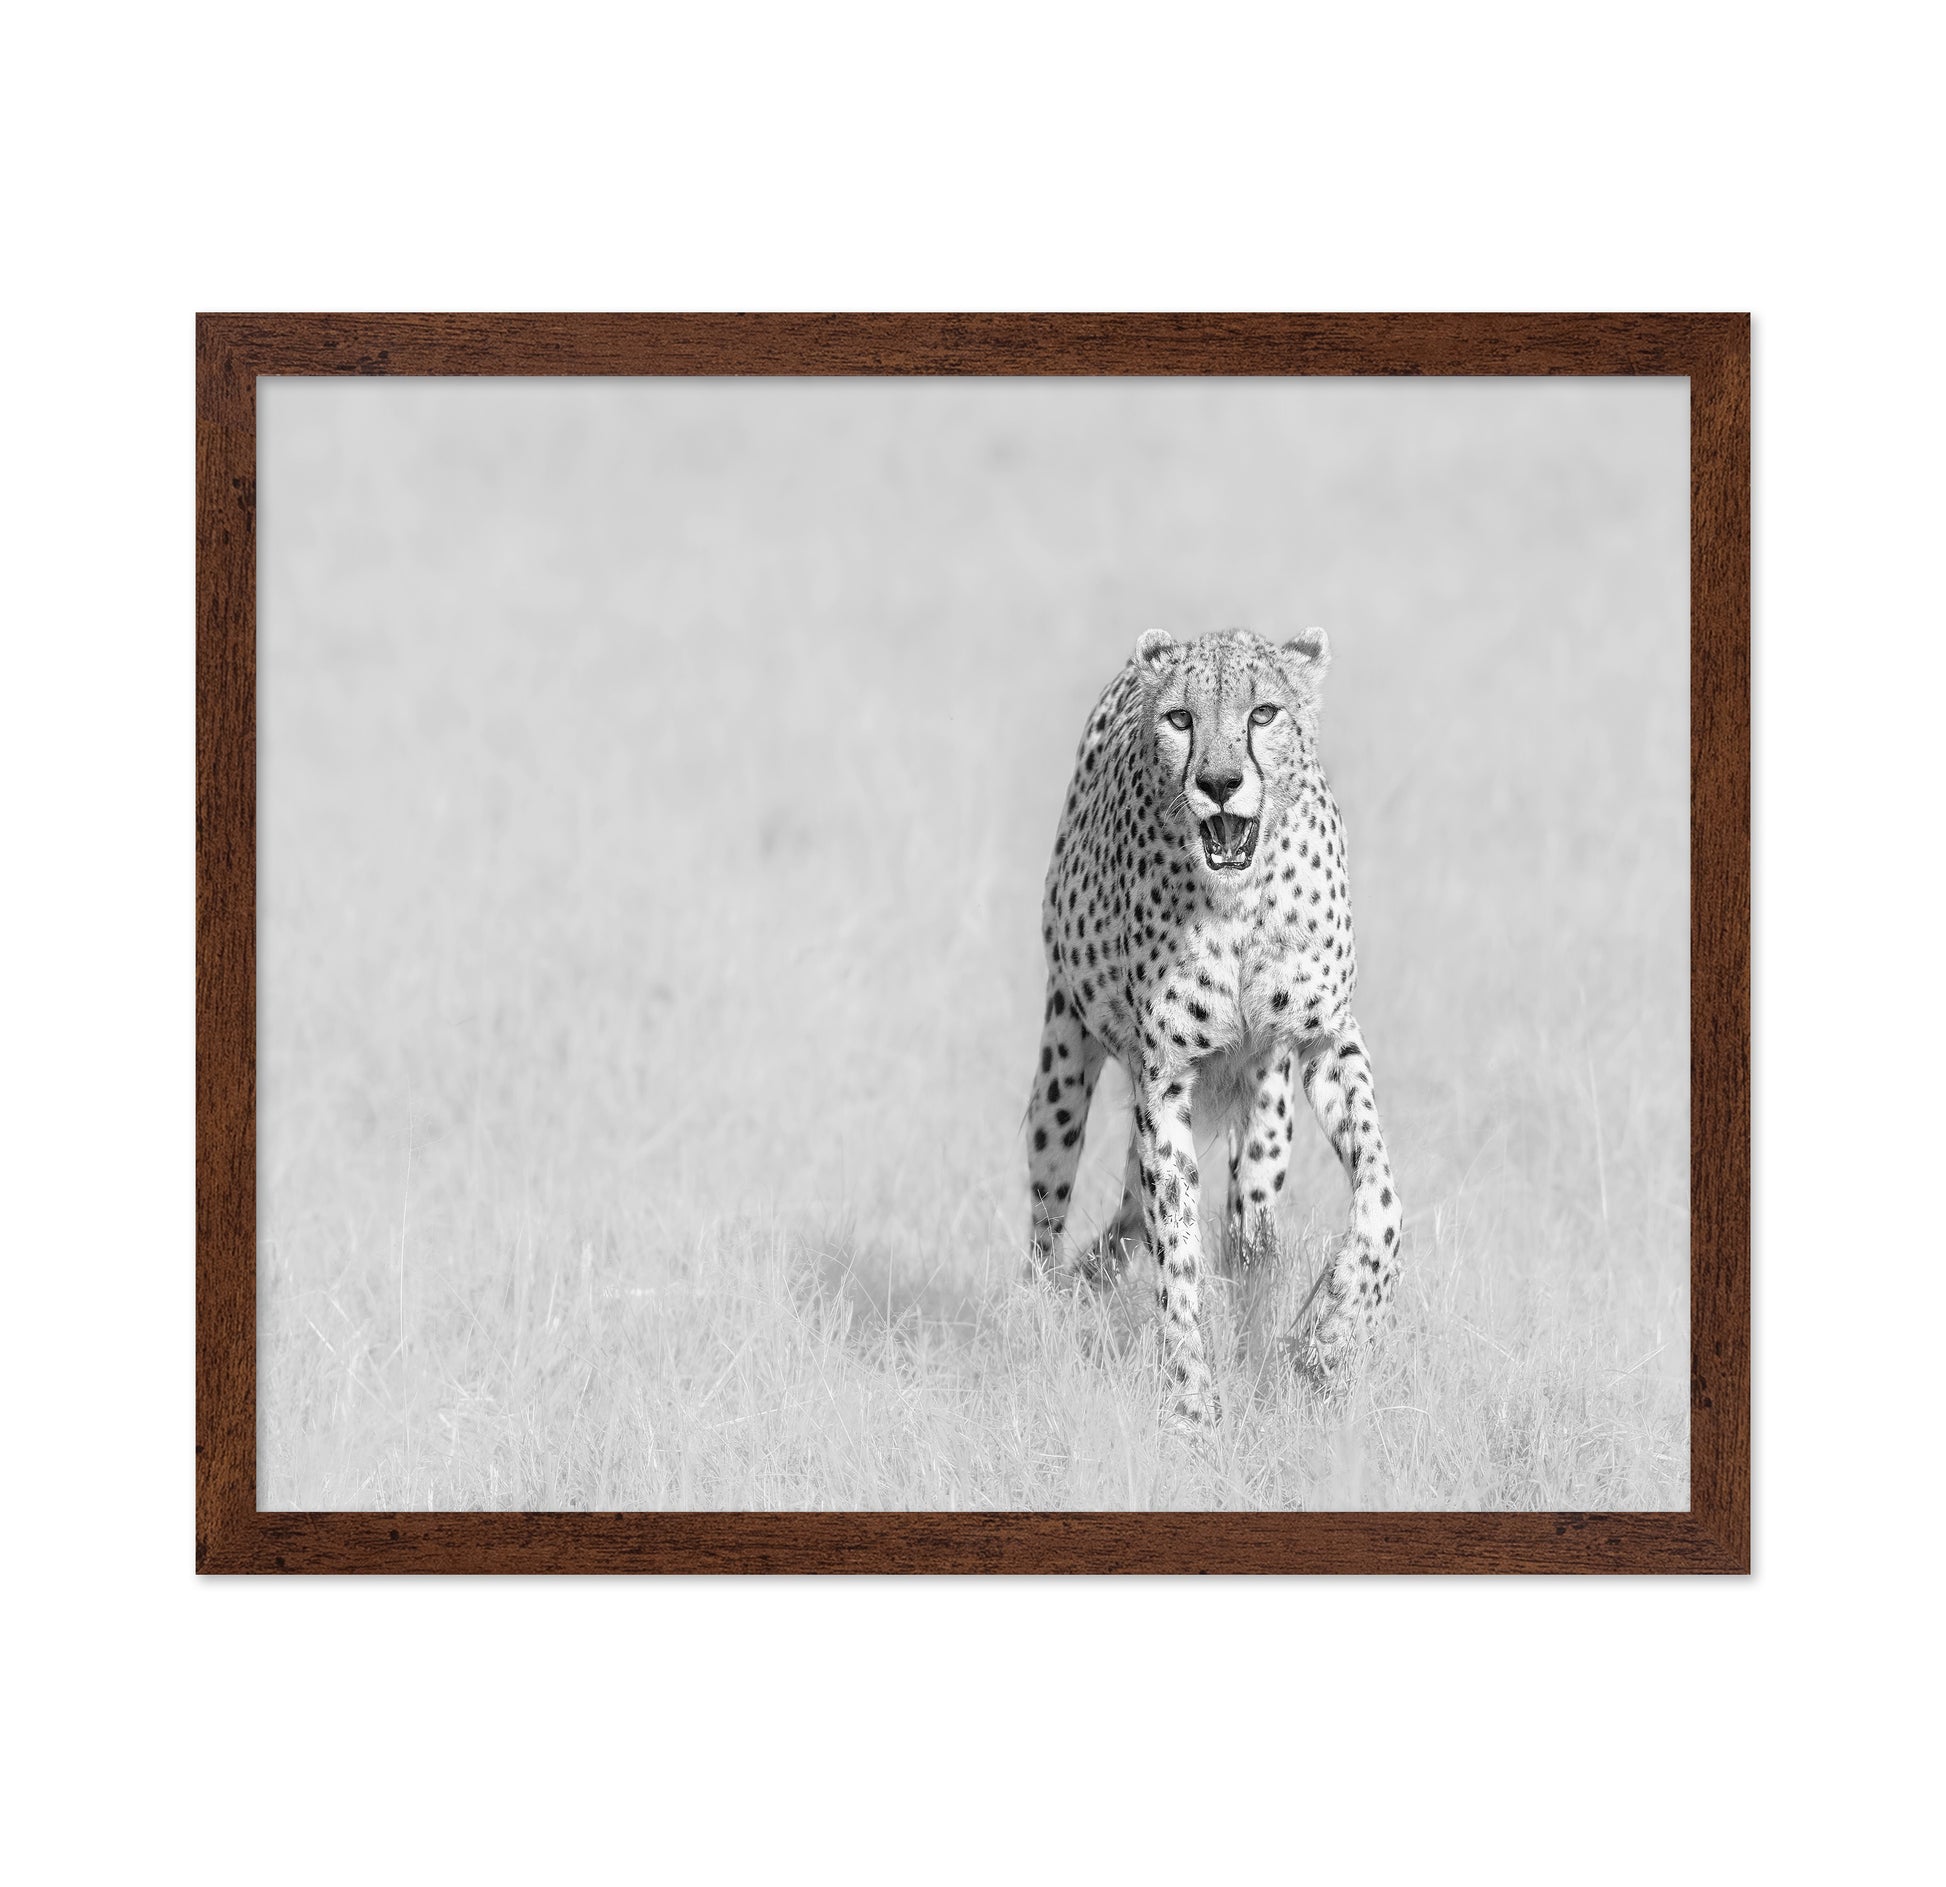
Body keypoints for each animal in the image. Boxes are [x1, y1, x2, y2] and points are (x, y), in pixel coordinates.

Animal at [1025, 626, 1402, 1423]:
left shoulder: (1327, 1039)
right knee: (1048, 1219)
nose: (1221, 783)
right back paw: (1041, 1316)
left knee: (1246, 1232)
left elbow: (1383, 1199)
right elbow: (1176, 1249)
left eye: (1264, 713)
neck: (1239, 900)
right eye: (1180, 719)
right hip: (1062, 1064)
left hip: (1266, 1119)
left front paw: (1334, 1329)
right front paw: (1192, 1404)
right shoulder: (1163, 1076)